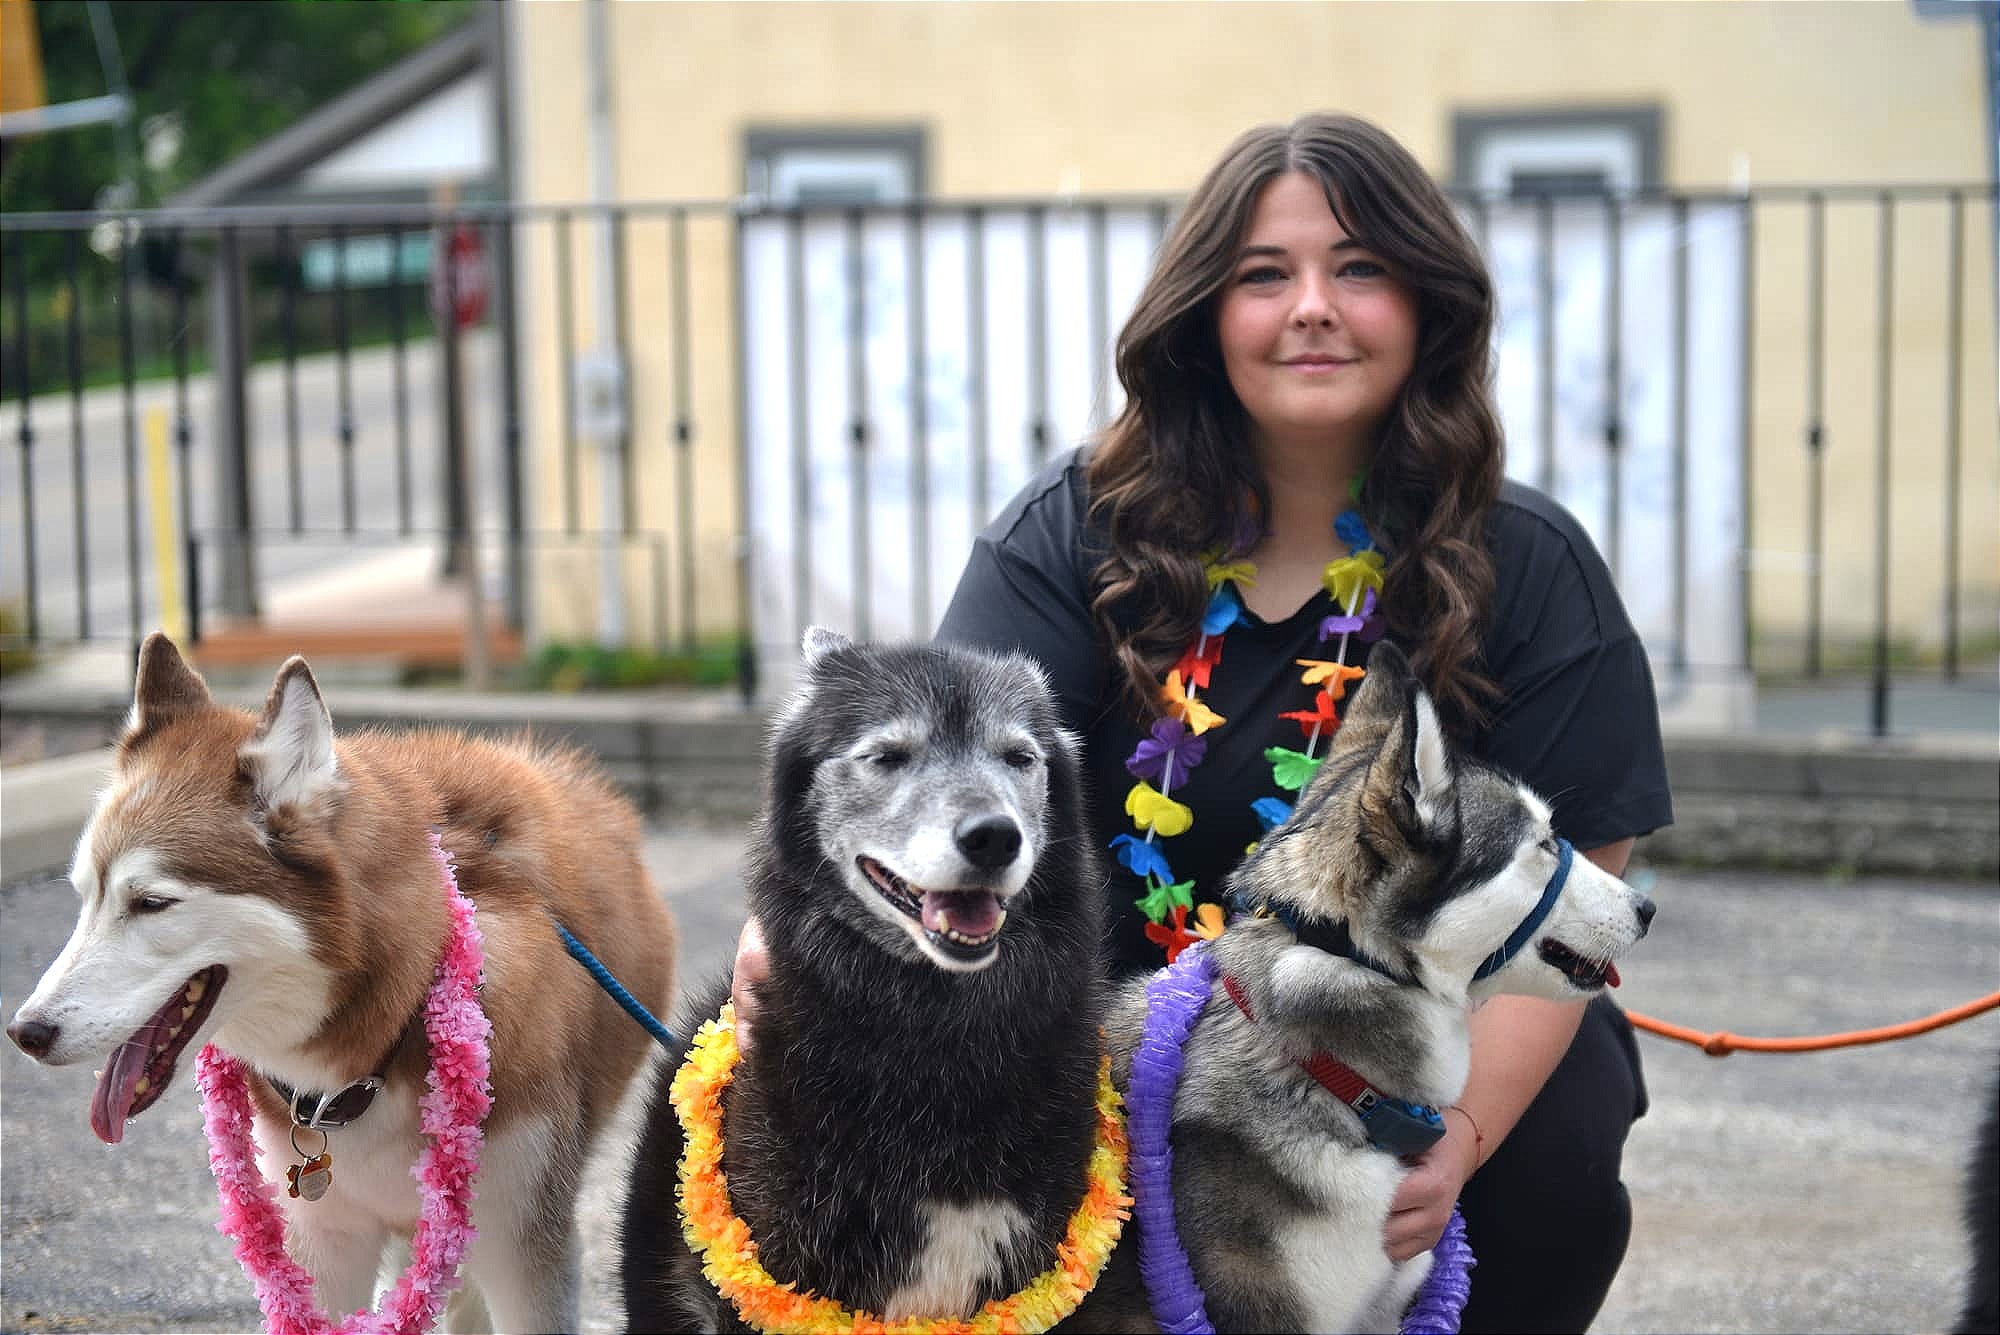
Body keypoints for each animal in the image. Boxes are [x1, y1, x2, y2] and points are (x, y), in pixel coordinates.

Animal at [5, 639, 680, 1335]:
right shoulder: (322, 1244)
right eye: (84, 897)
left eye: (151, 903)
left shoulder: (523, 1245)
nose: (26, 1032)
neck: (373, 1058)